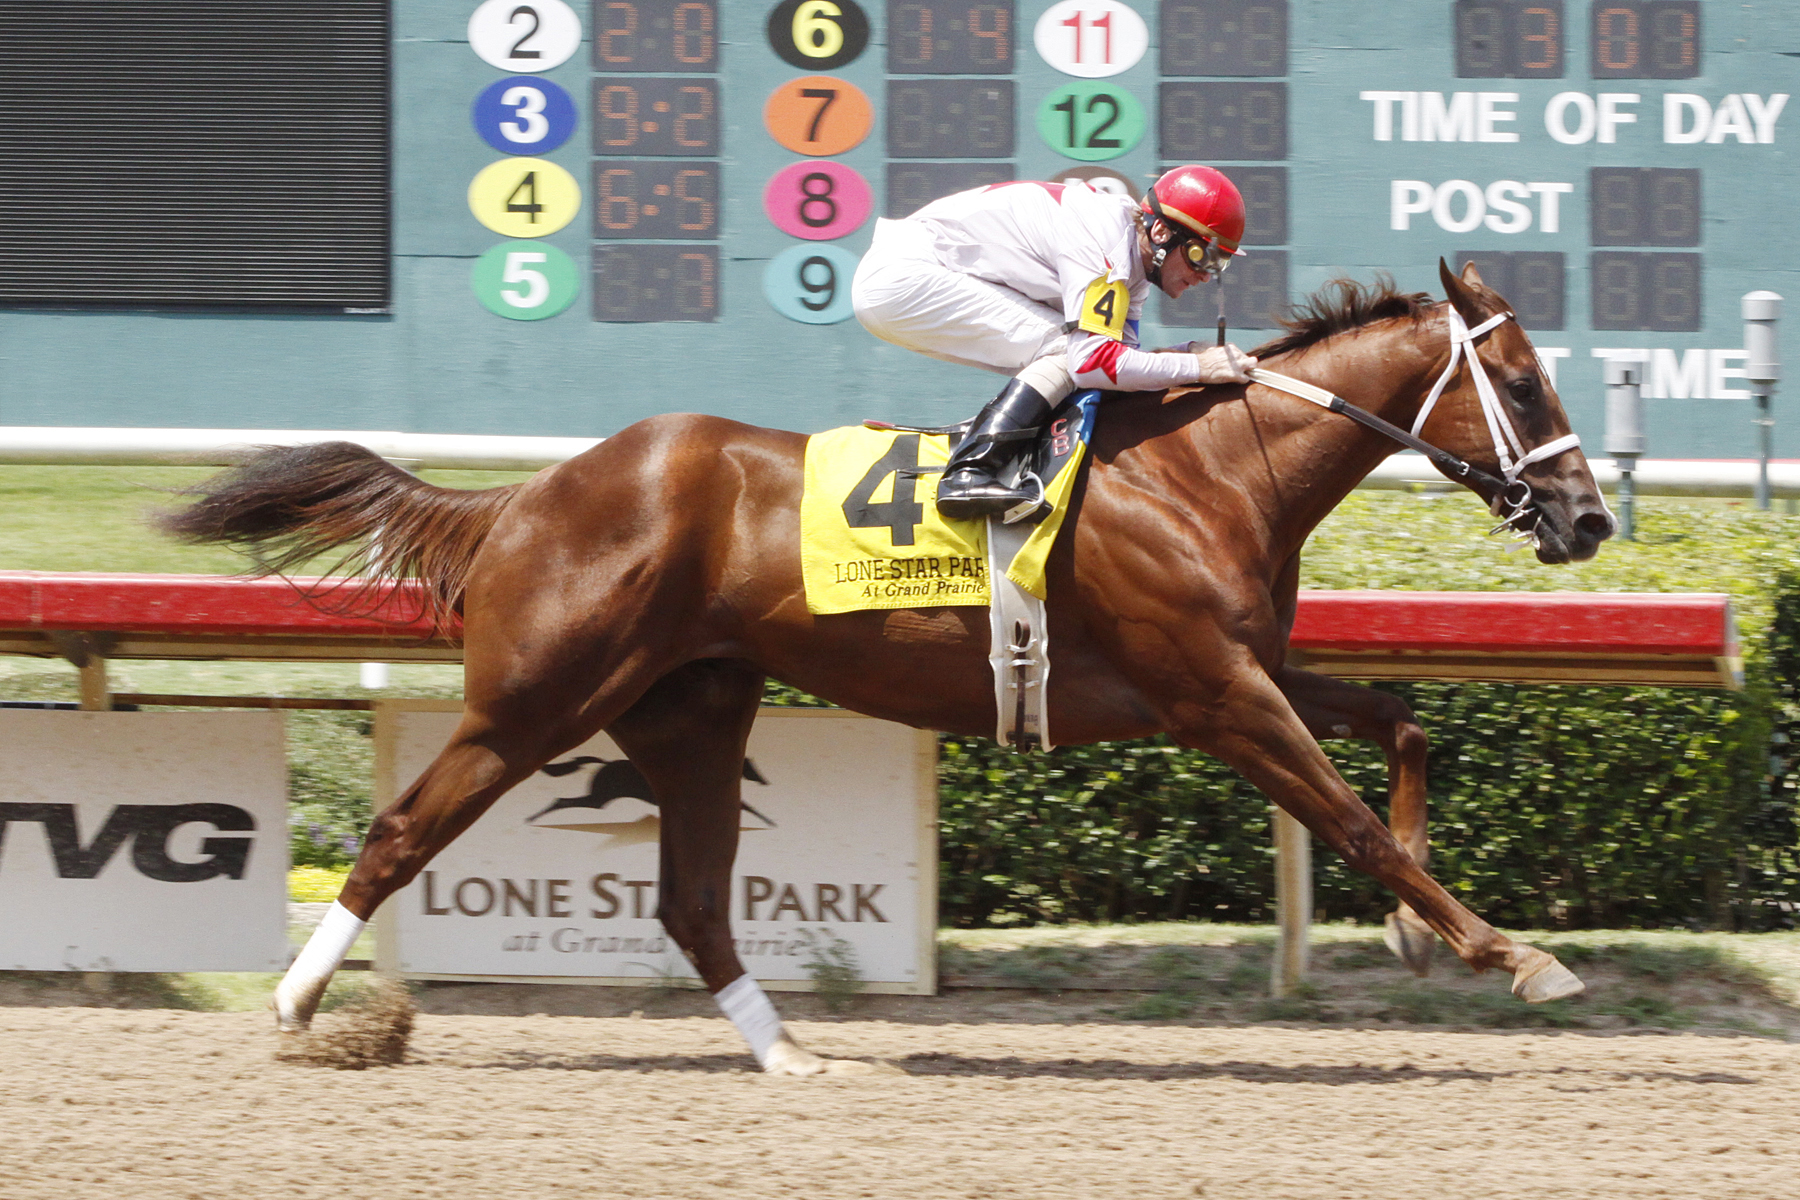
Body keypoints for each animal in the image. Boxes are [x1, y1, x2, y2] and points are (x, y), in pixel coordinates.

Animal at [164, 261, 1614, 1075]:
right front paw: (1510, 953)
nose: (1589, 519)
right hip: (535, 700)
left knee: (692, 901)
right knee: (401, 832)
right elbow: (1353, 825)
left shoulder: (1243, 670)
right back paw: (298, 1009)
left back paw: (795, 1060)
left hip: (689, 712)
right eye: (1525, 387)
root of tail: (530, 496)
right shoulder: (1216, 696)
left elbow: (1403, 722)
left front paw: (1417, 939)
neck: (1209, 471)